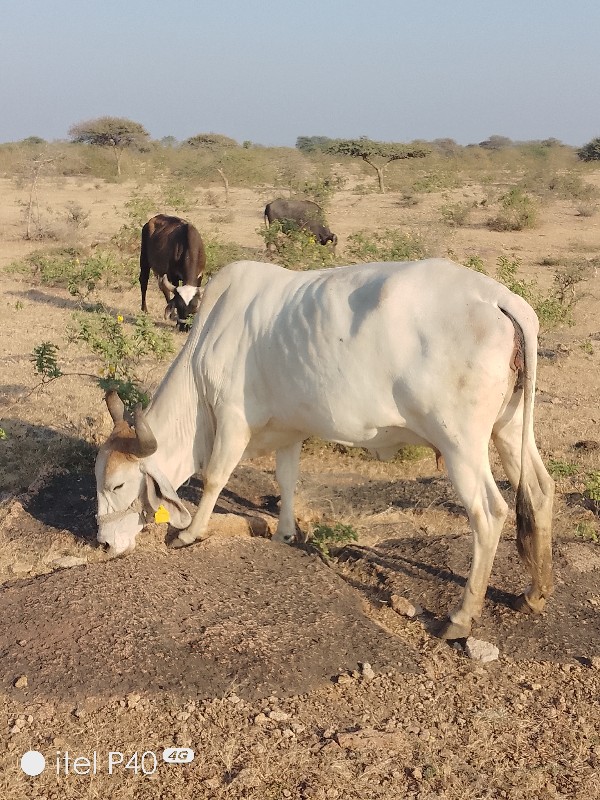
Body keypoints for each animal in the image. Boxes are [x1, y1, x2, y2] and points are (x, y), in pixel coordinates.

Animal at [95, 260, 552, 640]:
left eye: (117, 485)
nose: (102, 544)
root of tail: (500, 300)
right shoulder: (290, 430)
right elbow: (286, 479)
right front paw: (284, 532)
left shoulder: (231, 421)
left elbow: (213, 479)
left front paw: (189, 533)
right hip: (509, 428)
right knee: (539, 491)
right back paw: (534, 593)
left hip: (460, 444)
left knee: (489, 513)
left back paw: (460, 618)